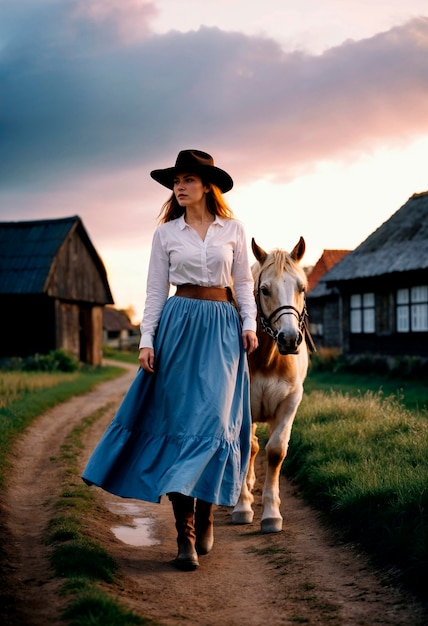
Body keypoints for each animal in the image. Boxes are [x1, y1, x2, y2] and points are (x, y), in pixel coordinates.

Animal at [234, 236, 310, 528]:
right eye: (265, 290)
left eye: (302, 287)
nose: (289, 338)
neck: (267, 359)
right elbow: (246, 448)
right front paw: (243, 507)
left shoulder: (289, 403)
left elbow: (276, 451)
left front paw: (271, 513)